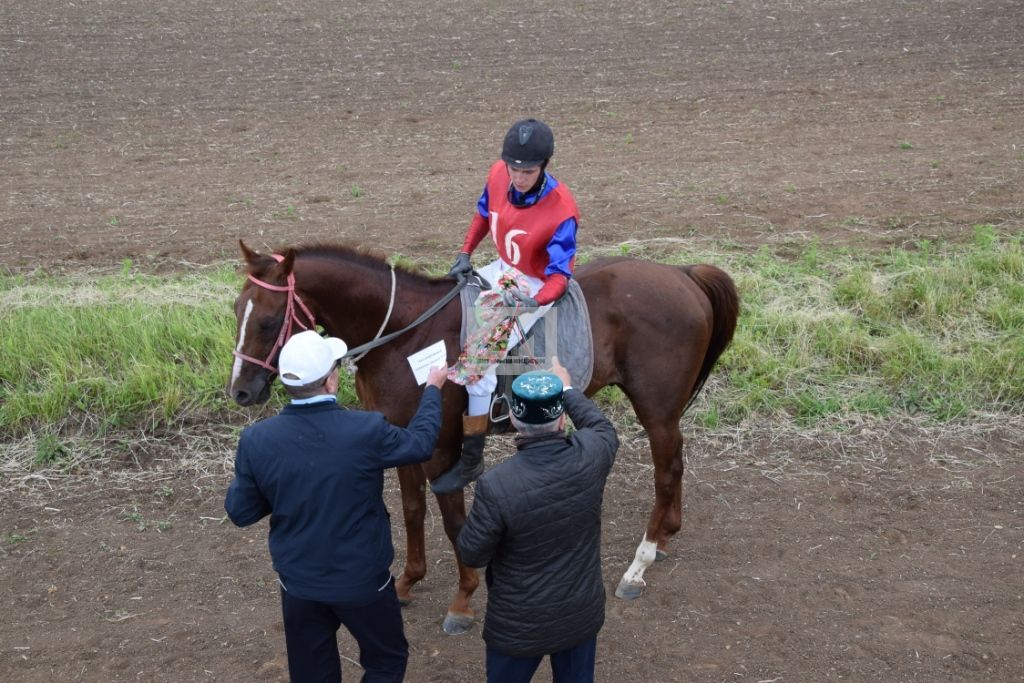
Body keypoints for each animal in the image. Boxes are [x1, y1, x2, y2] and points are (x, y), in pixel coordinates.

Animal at [227, 241, 737, 634]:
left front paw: (463, 598)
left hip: (656, 408)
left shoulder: (440, 449)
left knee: (666, 469)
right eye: (236, 311)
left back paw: (640, 563)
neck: (405, 333)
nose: (240, 391)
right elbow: (412, 511)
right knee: (676, 463)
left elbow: (455, 521)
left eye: (270, 321)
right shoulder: (400, 437)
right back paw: (666, 536)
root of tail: (682, 273)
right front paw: (408, 582)